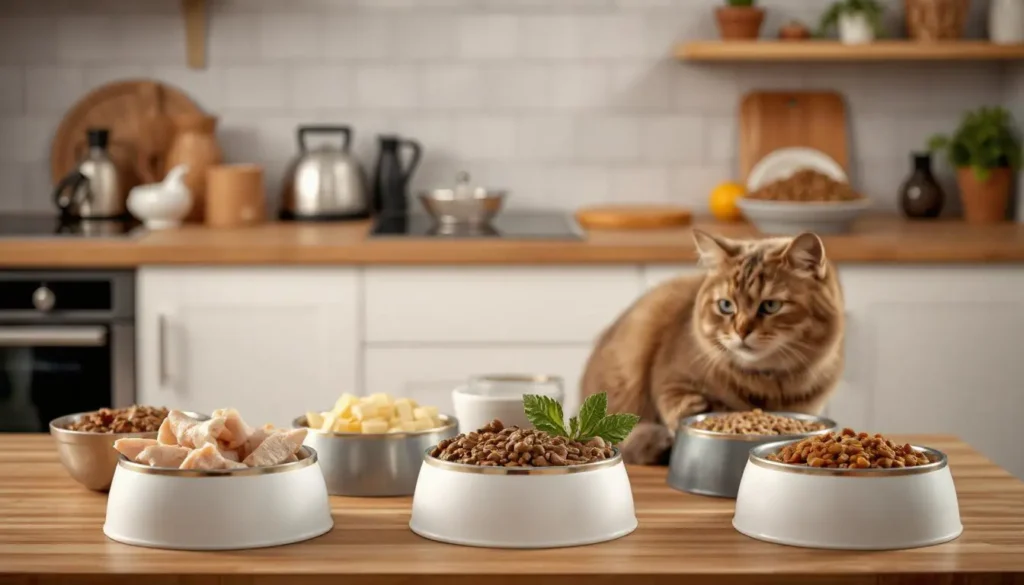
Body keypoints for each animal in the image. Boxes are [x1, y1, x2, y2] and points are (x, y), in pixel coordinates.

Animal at [581, 231, 843, 465]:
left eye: (771, 306)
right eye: (726, 306)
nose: (741, 331)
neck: (765, 385)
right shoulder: (671, 380)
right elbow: (682, 406)